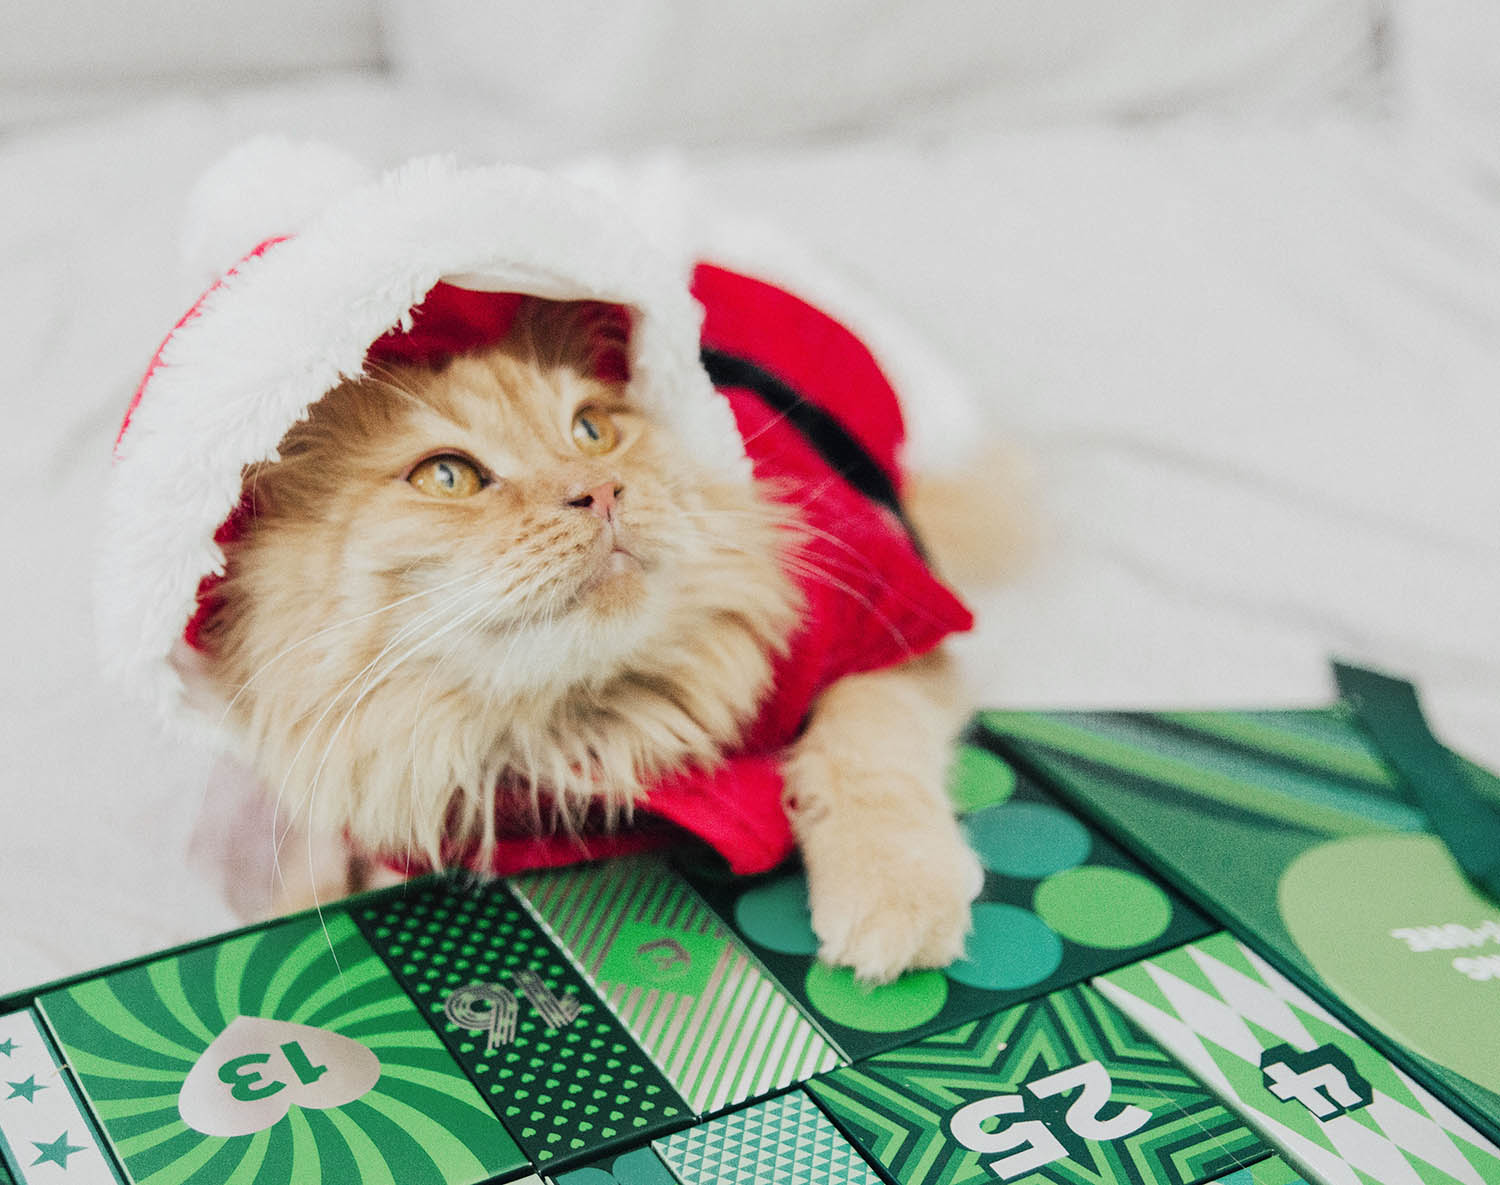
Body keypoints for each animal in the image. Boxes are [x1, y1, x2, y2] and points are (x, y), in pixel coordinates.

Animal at [202, 294, 996, 984]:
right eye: (447, 476)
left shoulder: (887, 612)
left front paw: (894, 890)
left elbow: (864, 746)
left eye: (593, 431)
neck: (595, 719)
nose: (603, 491)